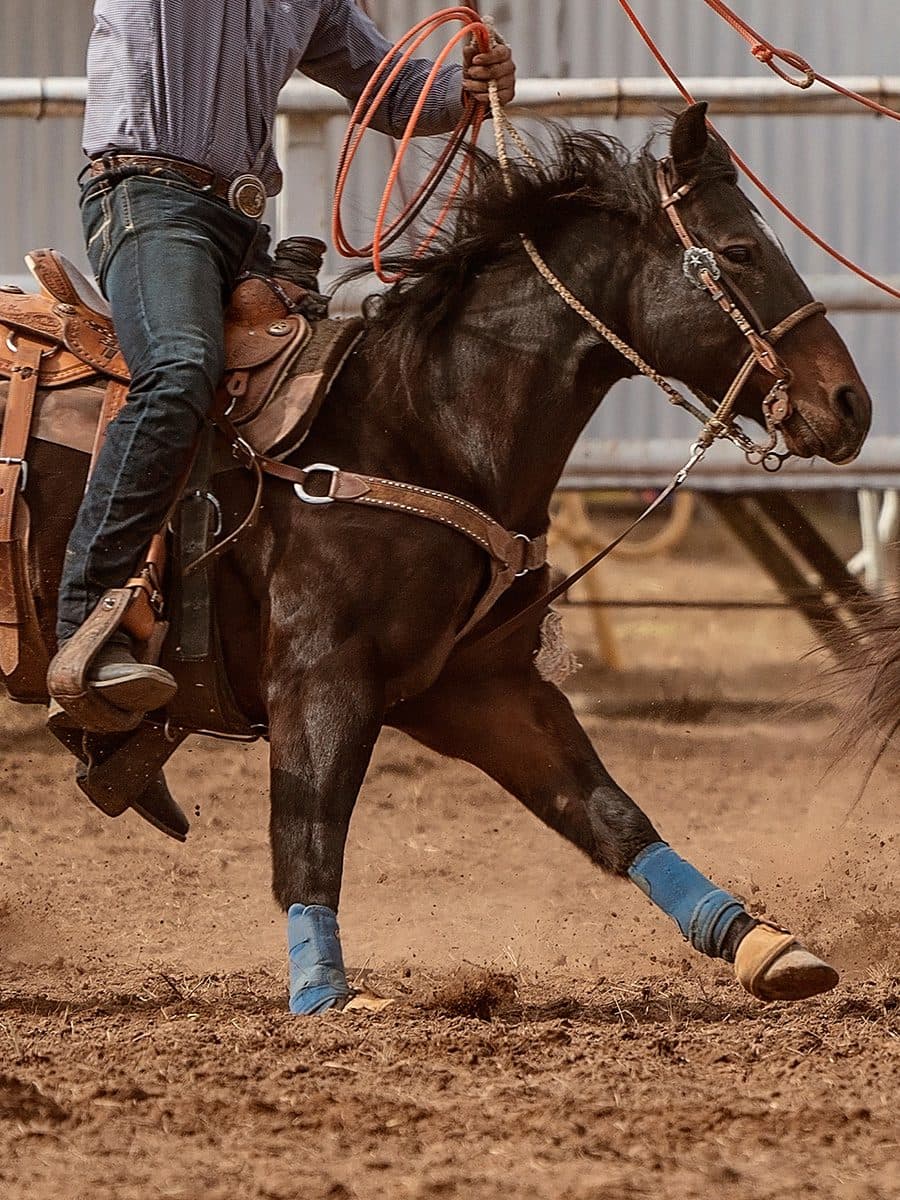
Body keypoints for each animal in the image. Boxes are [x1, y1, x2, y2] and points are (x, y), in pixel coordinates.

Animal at [5, 103, 872, 1012]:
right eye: (739, 251)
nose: (850, 404)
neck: (422, 423)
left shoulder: (478, 687)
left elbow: (610, 814)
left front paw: (756, 941)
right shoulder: (323, 675)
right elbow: (309, 832)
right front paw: (325, 992)